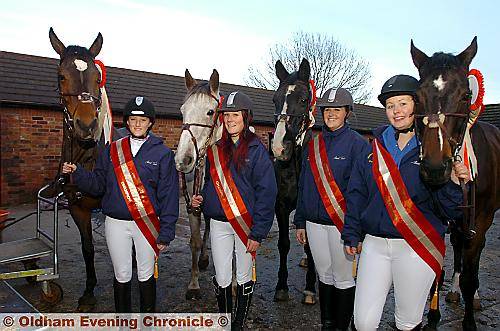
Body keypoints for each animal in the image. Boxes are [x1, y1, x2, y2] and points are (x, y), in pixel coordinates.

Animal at [410, 37, 500, 330]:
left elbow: (471, 275)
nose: (435, 169)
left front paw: (469, 320)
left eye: (465, 96)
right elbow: (436, 268)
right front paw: (433, 316)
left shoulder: (480, 220)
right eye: (417, 96)